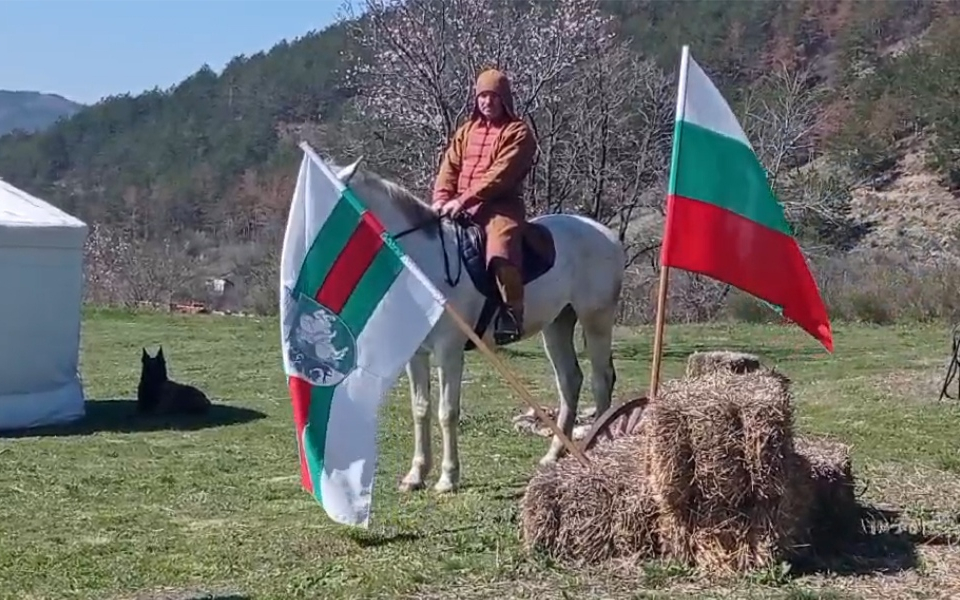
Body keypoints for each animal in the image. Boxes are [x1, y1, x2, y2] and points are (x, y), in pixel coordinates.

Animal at [332, 158, 632, 492]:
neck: (424, 263)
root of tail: (606, 234)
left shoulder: (449, 351)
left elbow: (447, 412)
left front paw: (448, 477)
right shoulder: (416, 354)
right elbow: (420, 409)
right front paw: (416, 475)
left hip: (596, 319)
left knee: (600, 381)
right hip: (557, 324)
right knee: (569, 381)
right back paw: (553, 455)